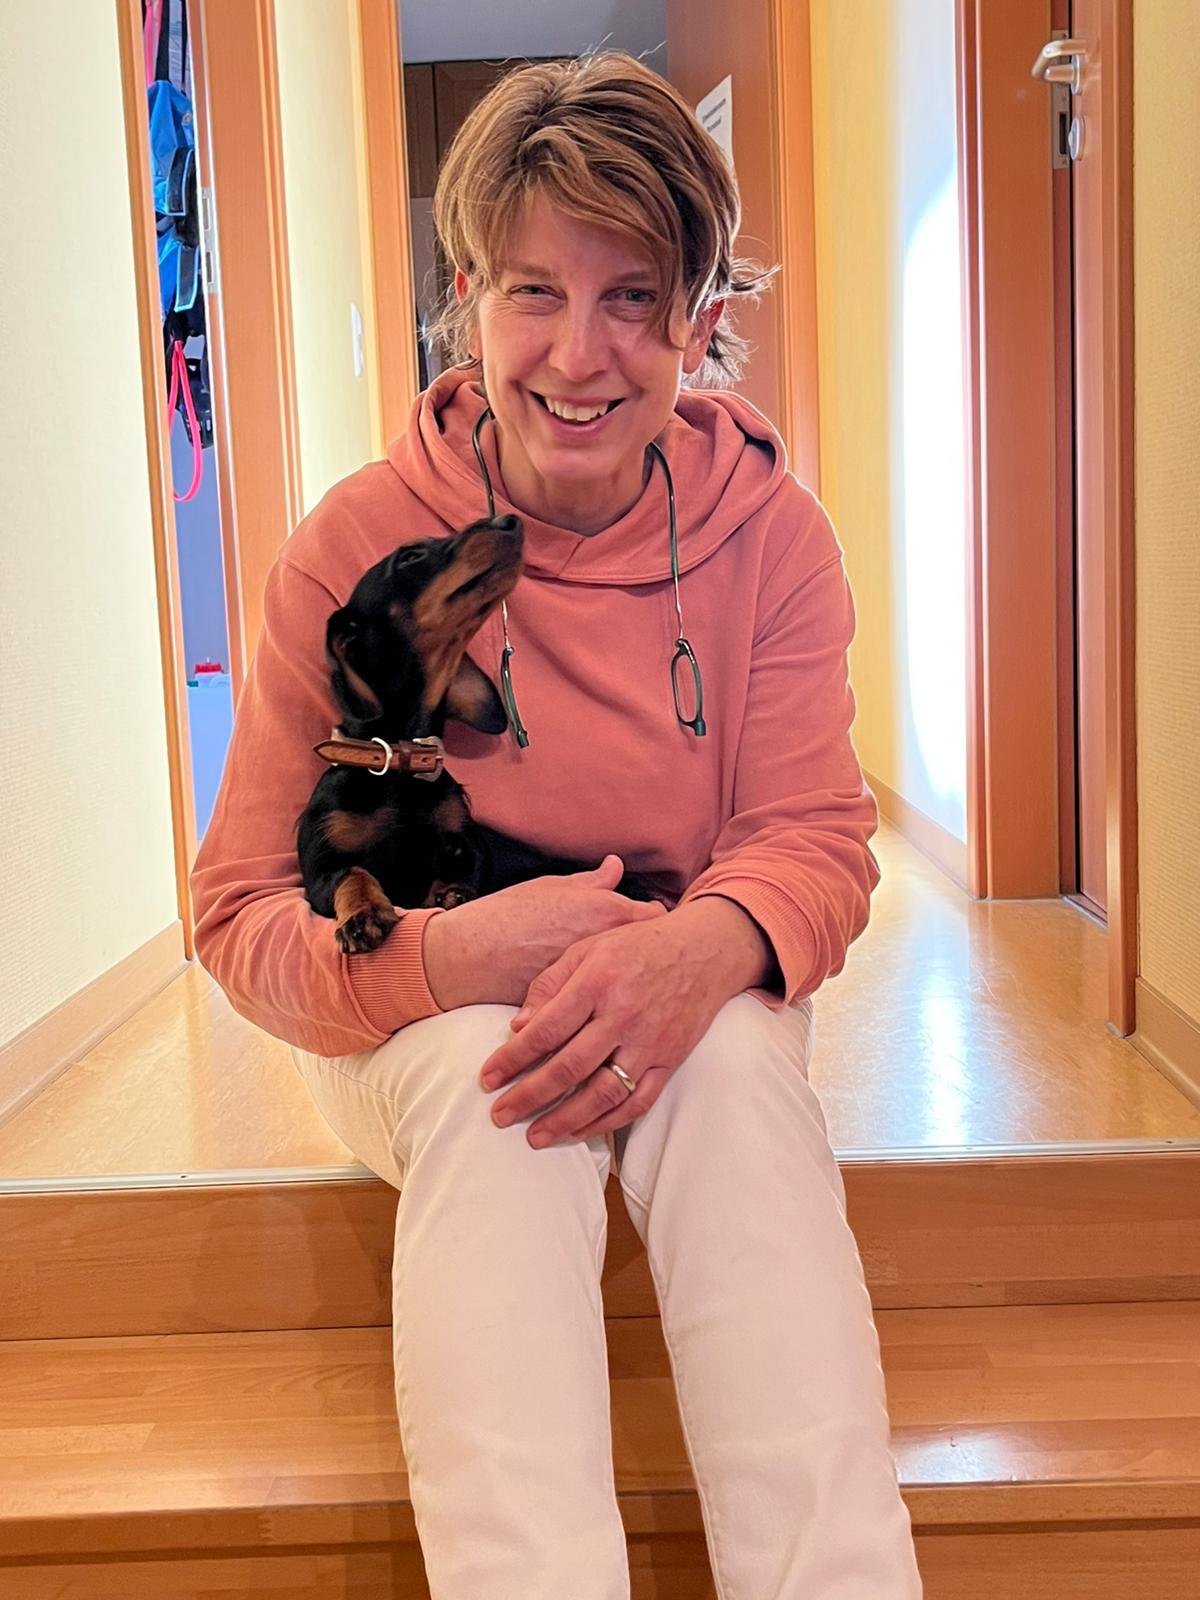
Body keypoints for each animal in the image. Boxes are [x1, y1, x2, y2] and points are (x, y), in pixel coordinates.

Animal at [296, 514, 656, 953]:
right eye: (410, 556)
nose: (508, 520)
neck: (400, 763)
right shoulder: (319, 871)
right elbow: (353, 874)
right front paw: (364, 914)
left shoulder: (468, 843)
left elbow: (467, 869)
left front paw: (451, 892)